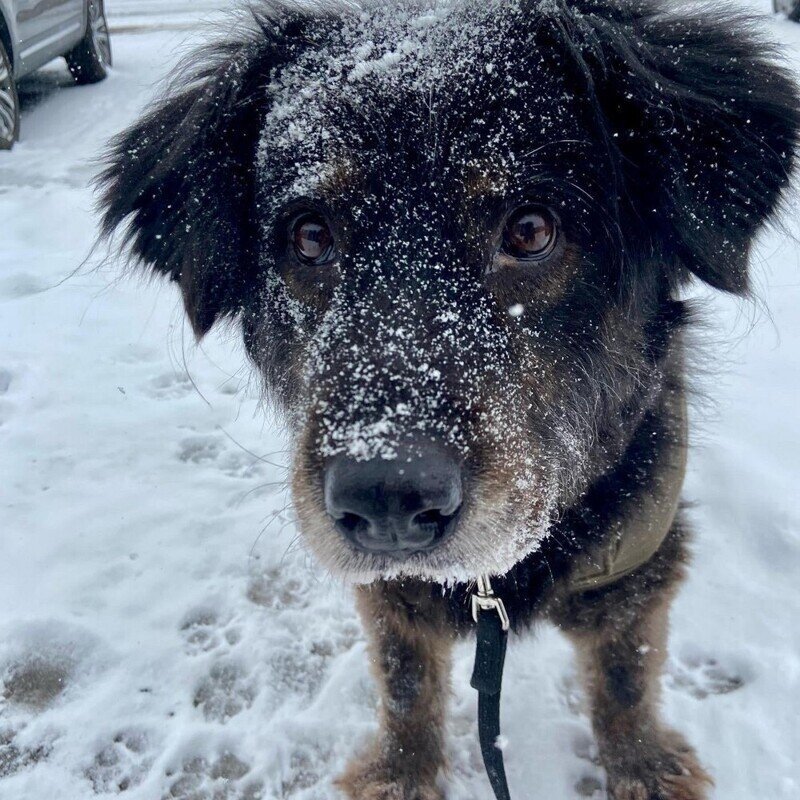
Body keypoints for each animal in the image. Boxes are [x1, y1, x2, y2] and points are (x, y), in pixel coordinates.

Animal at [100, 1, 800, 800]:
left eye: (530, 229)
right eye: (309, 236)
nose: (386, 500)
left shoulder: (638, 557)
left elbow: (626, 676)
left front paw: (641, 766)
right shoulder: (393, 592)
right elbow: (407, 683)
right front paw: (402, 774)